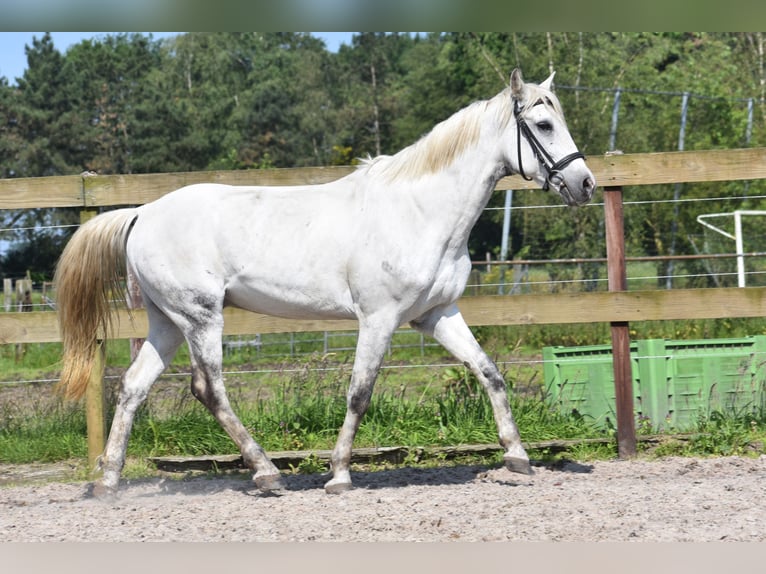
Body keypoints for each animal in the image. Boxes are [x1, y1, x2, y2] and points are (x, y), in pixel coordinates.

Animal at [55, 68, 592, 500]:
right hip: (201, 318)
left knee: (132, 387)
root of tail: (142, 213)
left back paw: (108, 483)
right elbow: (359, 393)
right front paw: (339, 475)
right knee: (209, 390)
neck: (419, 211)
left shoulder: (436, 315)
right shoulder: (378, 319)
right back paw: (267, 474)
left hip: (167, 322)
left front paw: (517, 456)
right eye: (543, 125)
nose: (584, 184)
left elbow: (489, 373)